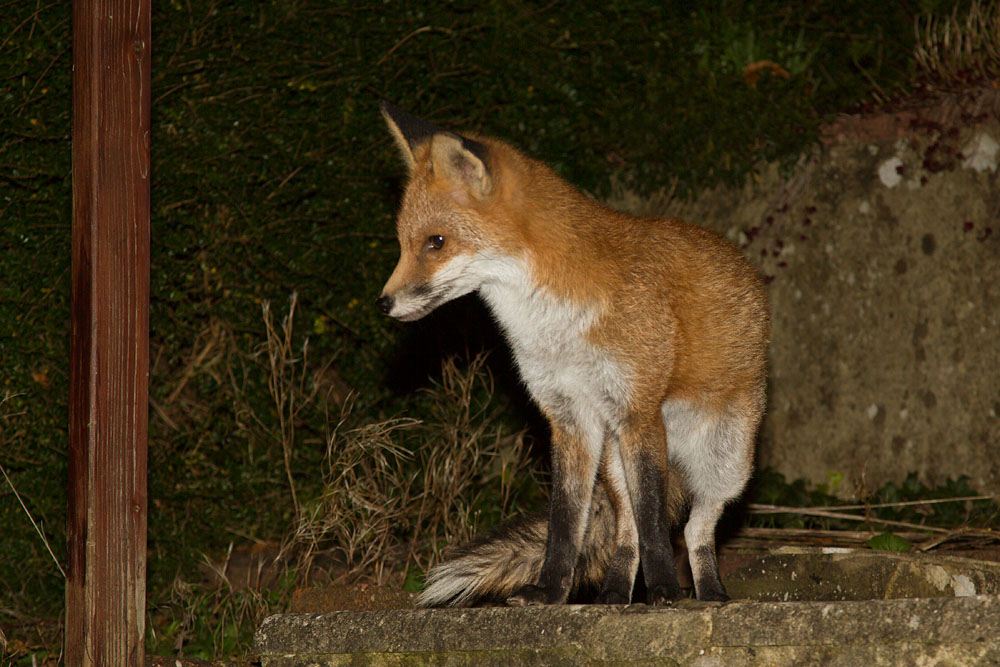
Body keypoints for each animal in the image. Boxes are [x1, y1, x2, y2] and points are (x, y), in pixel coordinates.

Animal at [376, 101, 769, 607]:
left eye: (436, 243)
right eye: (403, 243)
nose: (383, 303)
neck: (554, 328)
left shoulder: (637, 411)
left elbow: (654, 522)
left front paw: (664, 589)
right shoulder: (569, 418)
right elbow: (565, 526)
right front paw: (549, 591)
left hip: (725, 460)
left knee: (695, 529)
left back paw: (709, 593)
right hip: (615, 462)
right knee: (626, 532)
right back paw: (614, 596)